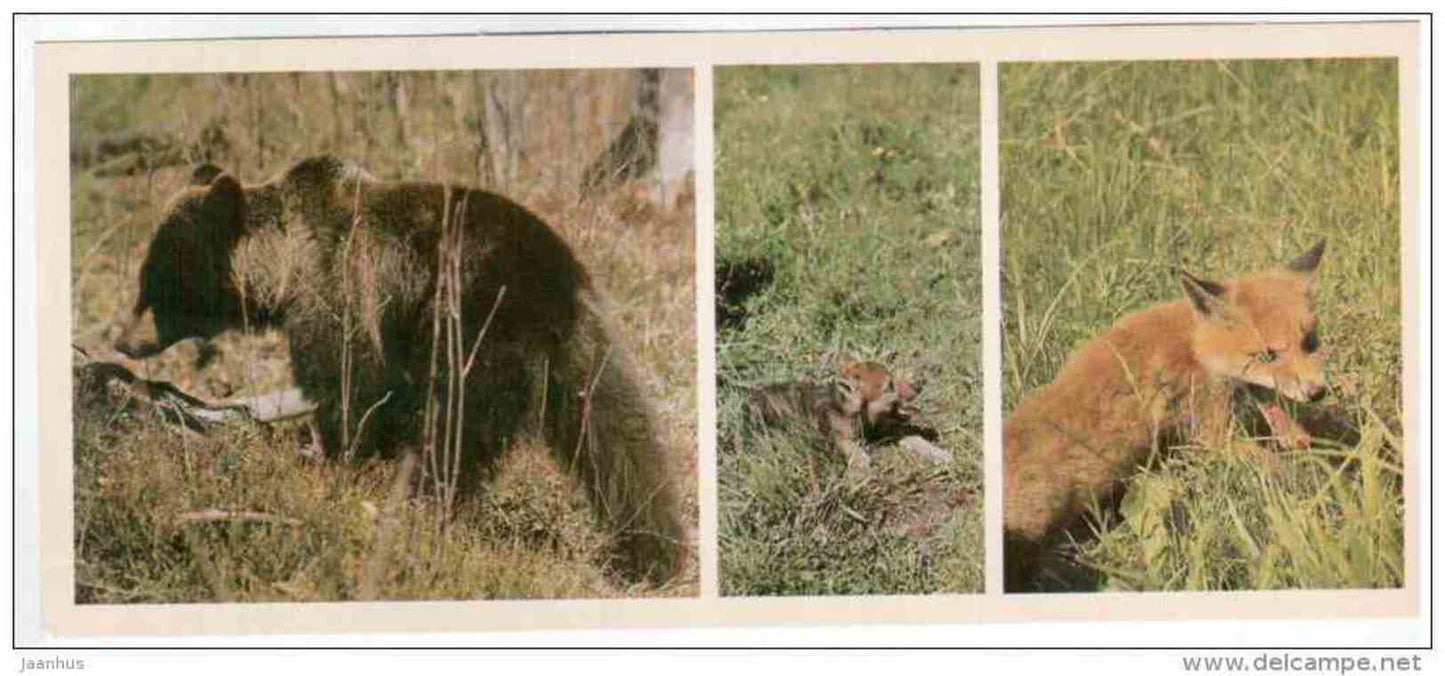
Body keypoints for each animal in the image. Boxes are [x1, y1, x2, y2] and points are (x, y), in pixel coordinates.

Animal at [109, 156, 684, 583]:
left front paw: (344, 458)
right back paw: (656, 550)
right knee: (623, 442)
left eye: (156, 285)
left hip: (474, 328)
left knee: (456, 430)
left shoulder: (343, 293)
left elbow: (349, 386)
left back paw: (424, 499)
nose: (121, 340)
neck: (287, 266)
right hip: (589, 346)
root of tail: (550, 285)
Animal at [1005, 239, 1329, 589]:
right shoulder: (1210, 431)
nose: (1318, 392)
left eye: (1309, 342)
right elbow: (1277, 466)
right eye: (1267, 356)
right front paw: (1319, 485)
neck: (1195, 345)